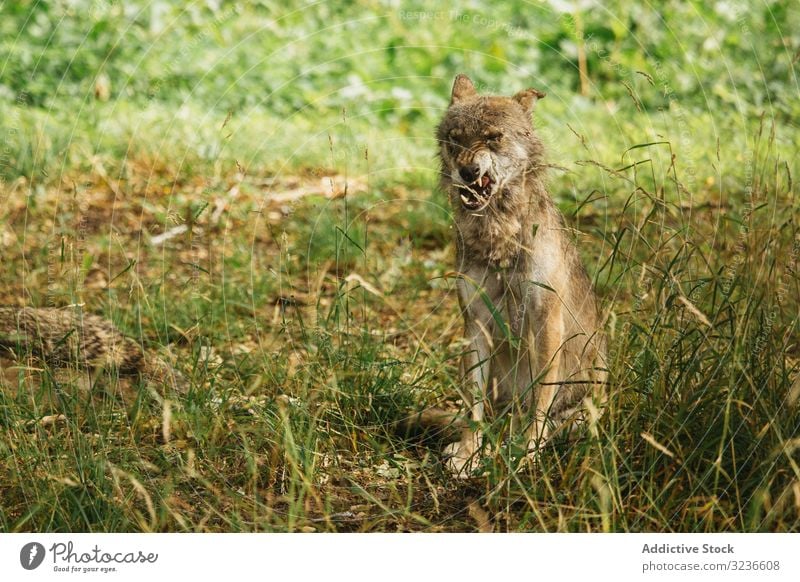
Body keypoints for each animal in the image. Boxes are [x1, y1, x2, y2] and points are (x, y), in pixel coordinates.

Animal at [438, 74, 608, 474]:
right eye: (455, 138)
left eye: (493, 137)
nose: (467, 172)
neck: (500, 237)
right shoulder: (475, 324)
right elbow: (472, 405)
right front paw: (468, 455)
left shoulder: (545, 322)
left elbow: (540, 402)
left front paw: (527, 452)